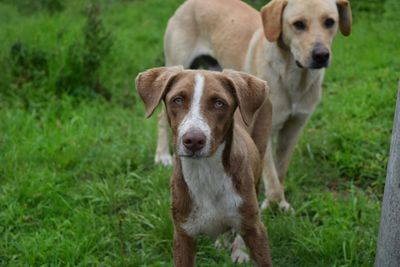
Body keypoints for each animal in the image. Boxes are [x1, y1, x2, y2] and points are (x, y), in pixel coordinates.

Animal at [136, 66, 274, 266]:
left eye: (219, 103)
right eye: (177, 100)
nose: (193, 140)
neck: (205, 172)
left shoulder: (256, 231)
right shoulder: (183, 236)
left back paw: (239, 250)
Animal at [155, 0, 352, 213]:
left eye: (329, 22)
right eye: (298, 24)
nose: (321, 55)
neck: (293, 78)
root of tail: (188, 3)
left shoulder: (293, 129)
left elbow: (280, 172)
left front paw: (281, 205)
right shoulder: (265, 129)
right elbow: (271, 177)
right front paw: (271, 204)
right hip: (177, 67)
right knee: (161, 117)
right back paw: (162, 155)